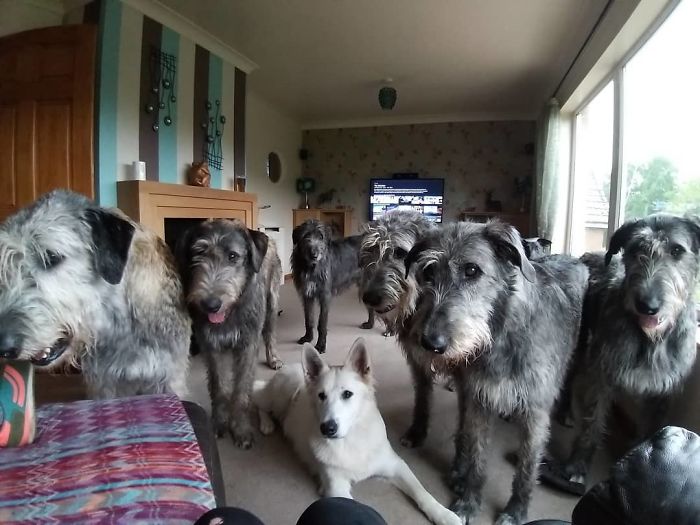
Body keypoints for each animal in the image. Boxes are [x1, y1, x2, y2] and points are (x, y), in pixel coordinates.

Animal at [178, 219, 282, 448]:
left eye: (233, 256)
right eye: (199, 253)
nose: (210, 304)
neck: (232, 311)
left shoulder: (247, 346)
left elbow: (242, 391)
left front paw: (241, 429)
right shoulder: (212, 346)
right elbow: (220, 387)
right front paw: (219, 422)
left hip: (272, 303)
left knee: (270, 334)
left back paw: (273, 358)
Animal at [292, 218, 374, 352]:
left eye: (321, 237)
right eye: (306, 236)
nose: (314, 255)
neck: (312, 267)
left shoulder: (325, 296)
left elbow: (321, 323)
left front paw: (320, 345)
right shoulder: (307, 295)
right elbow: (308, 319)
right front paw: (308, 338)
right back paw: (370, 324)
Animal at [402, 220, 588, 524]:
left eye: (472, 270)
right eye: (428, 272)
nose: (430, 343)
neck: (501, 335)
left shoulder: (535, 414)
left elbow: (526, 469)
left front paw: (515, 511)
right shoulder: (479, 400)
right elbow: (476, 457)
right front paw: (468, 502)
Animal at [548, 213, 700, 492]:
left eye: (677, 250)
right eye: (637, 248)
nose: (648, 305)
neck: (649, 340)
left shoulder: (663, 393)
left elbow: (649, 430)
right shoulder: (603, 374)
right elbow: (593, 422)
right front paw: (576, 467)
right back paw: (565, 412)